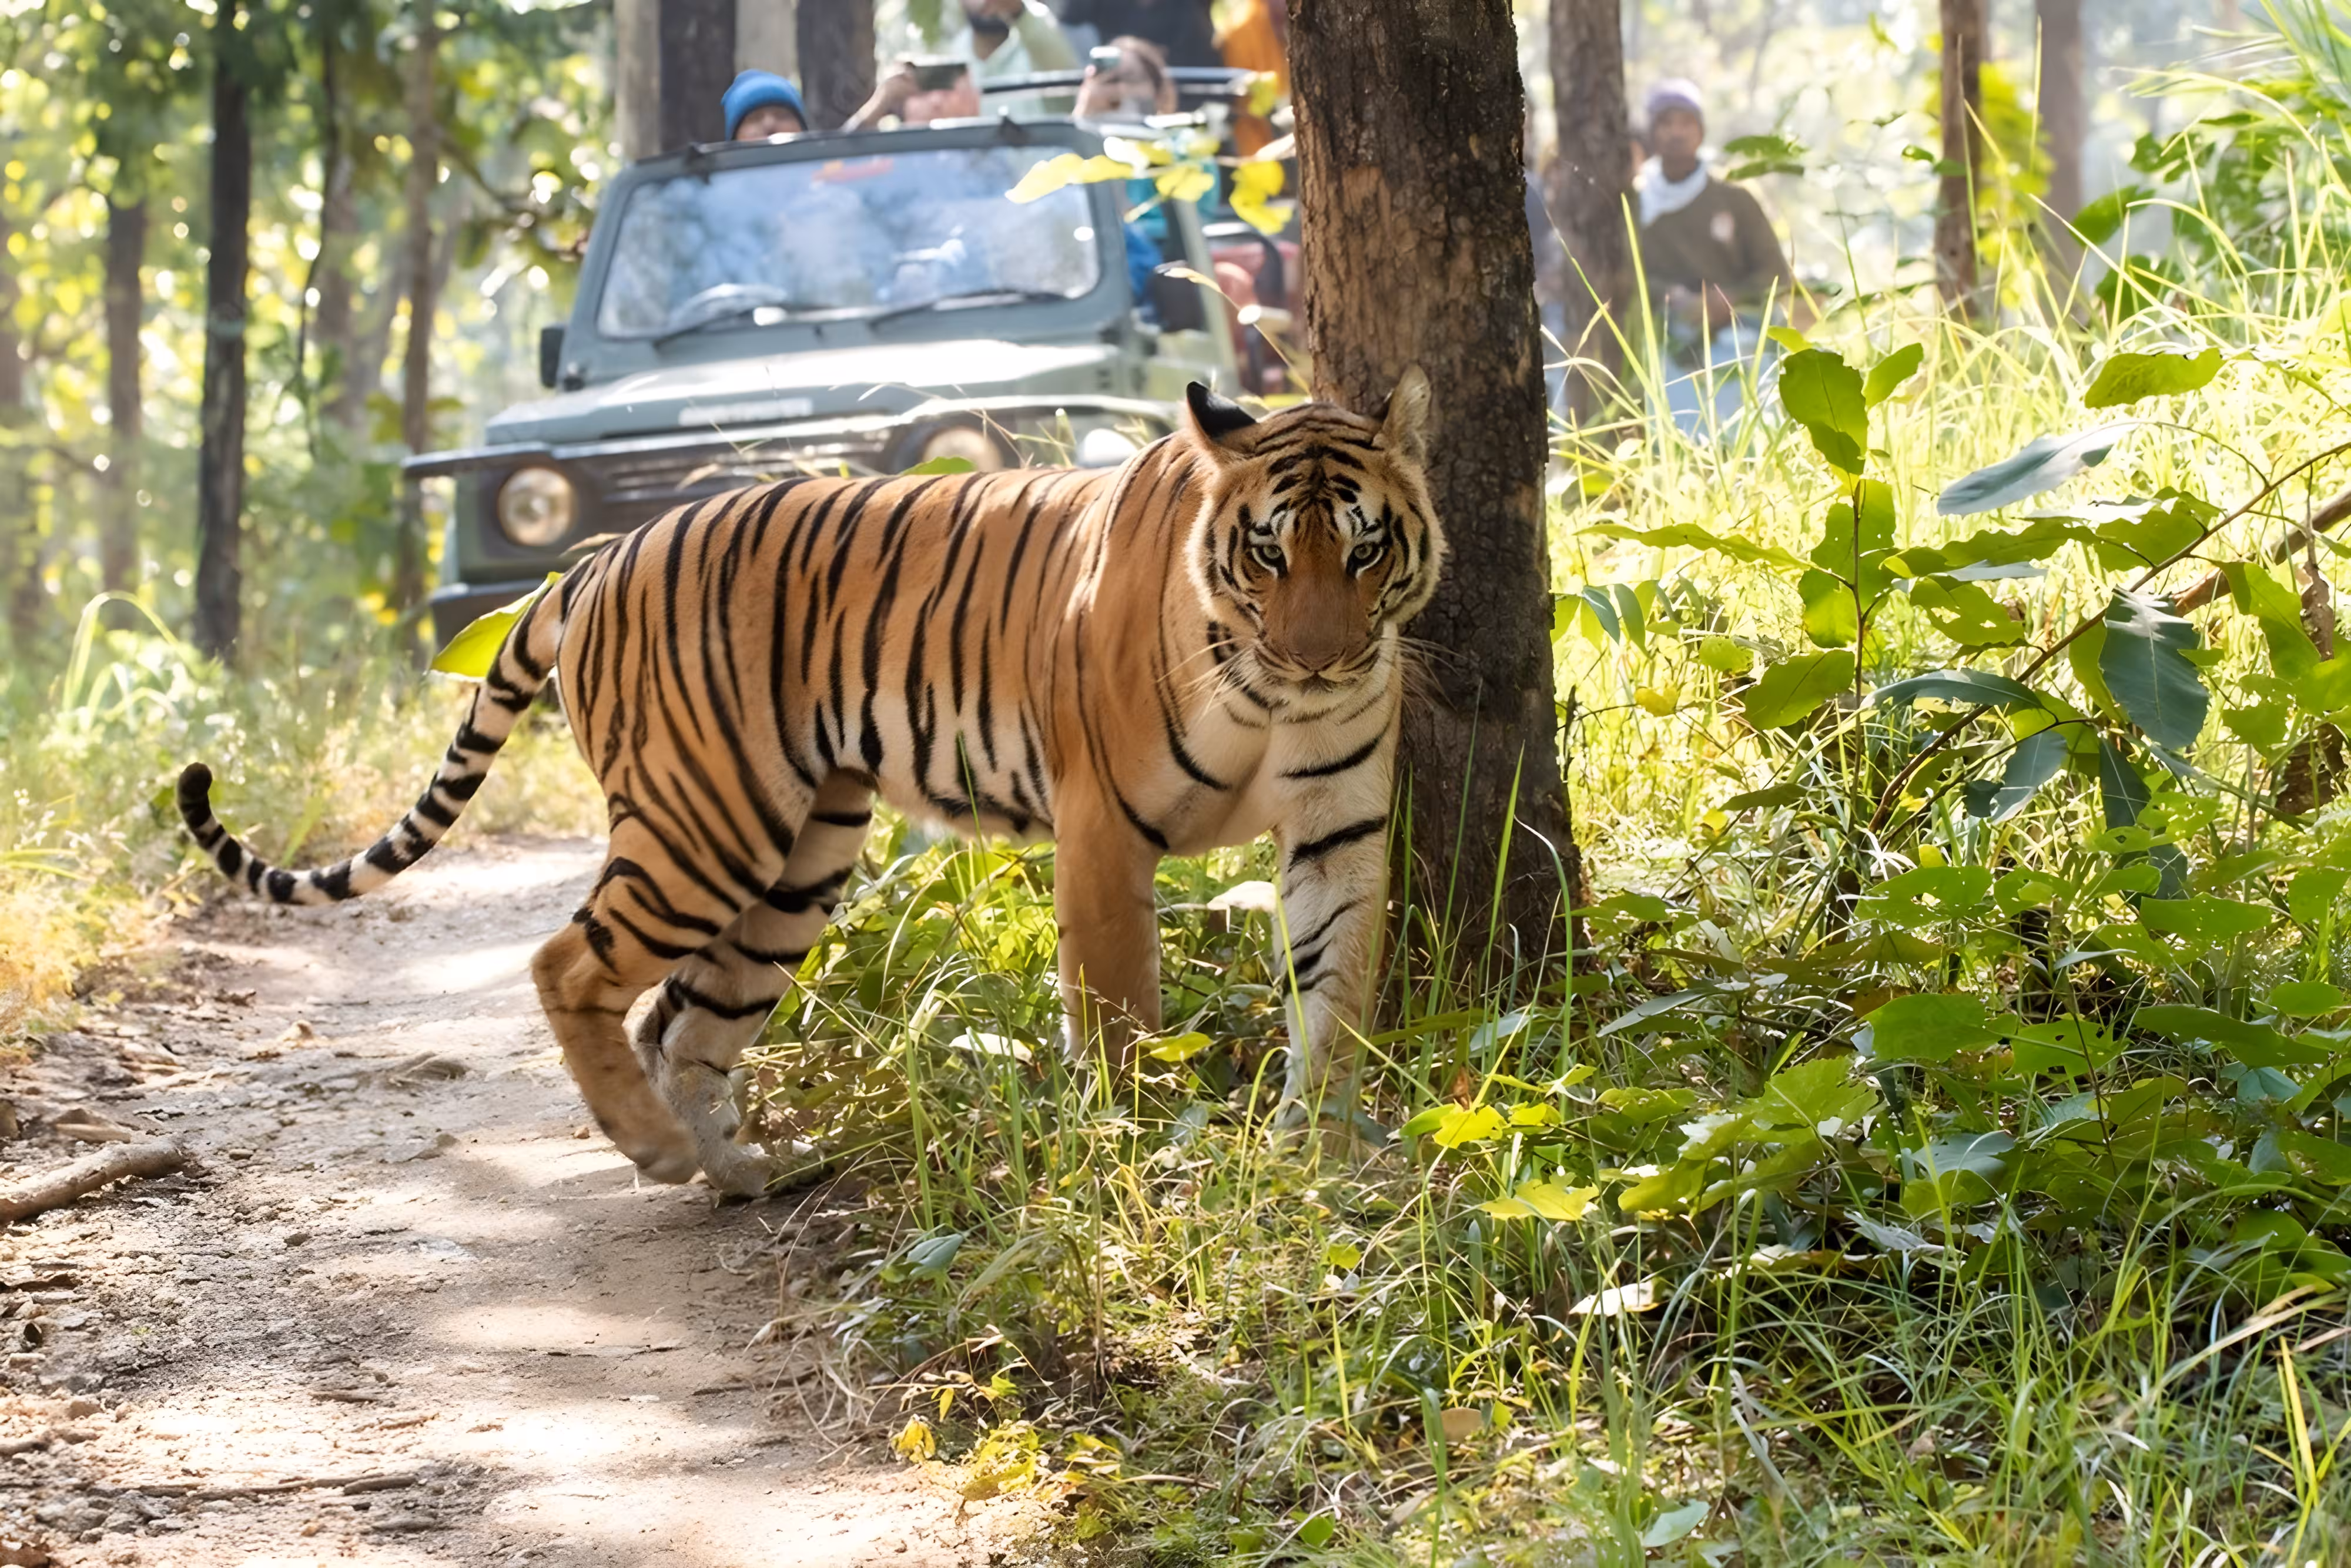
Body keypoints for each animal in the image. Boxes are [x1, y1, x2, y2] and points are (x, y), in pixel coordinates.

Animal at [176, 371, 1445, 1195]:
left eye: (1364, 548)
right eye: (1269, 553)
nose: (1321, 657)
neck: (1268, 691)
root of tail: (598, 557)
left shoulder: (1337, 825)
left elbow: (1335, 991)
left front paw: (1323, 1153)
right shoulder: (1103, 829)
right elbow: (1121, 1013)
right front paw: (1138, 1147)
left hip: (797, 857)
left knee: (685, 1017)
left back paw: (741, 1169)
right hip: (707, 823)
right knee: (569, 963)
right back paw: (657, 1149)